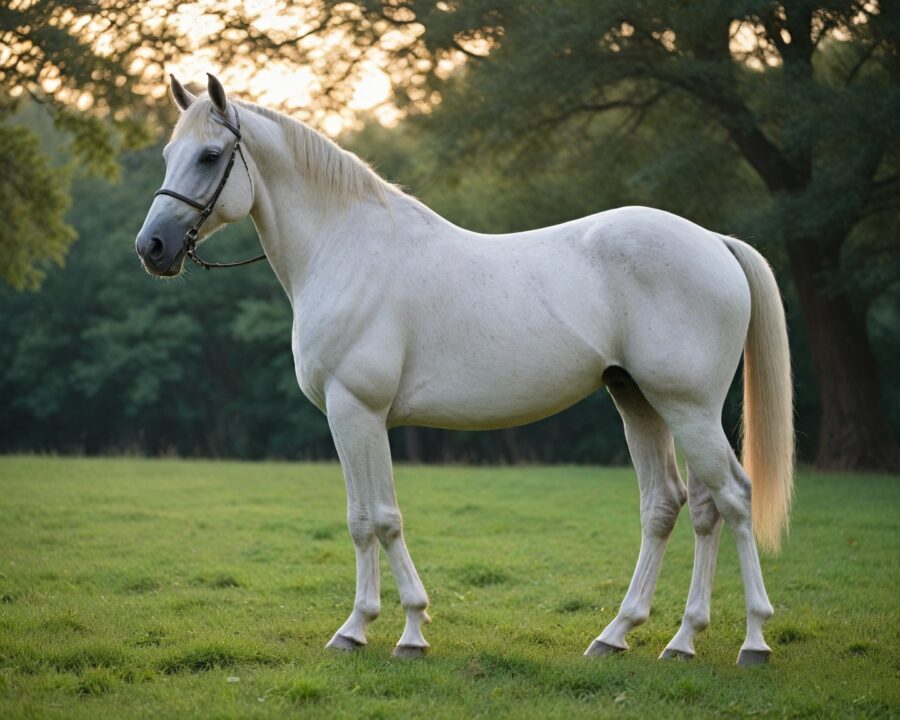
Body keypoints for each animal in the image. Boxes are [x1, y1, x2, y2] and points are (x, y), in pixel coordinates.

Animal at [136, 73, 793, 665]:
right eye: (169, 154)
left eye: (210, 155)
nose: (152, 248)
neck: (346, 249)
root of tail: (712, 240)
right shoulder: (349, 418)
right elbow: (360, 519)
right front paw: (362, 628)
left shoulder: (357, 411)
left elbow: (380, 520)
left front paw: (399, 631)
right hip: (640, 400)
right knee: (675, 505)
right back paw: (643, 637)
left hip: (688, 407)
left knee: (733, 498)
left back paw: (750, 640)